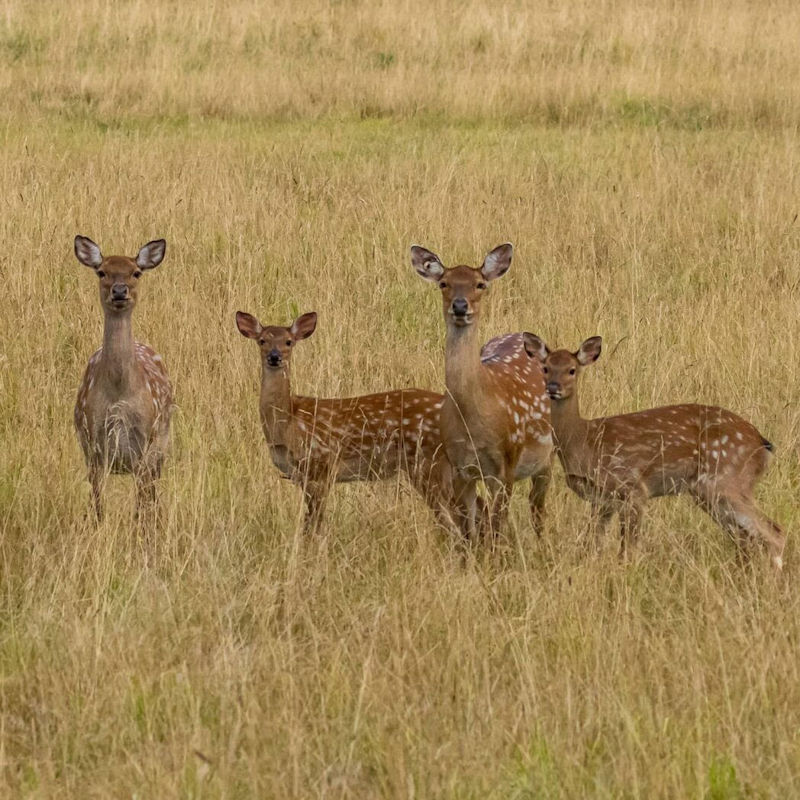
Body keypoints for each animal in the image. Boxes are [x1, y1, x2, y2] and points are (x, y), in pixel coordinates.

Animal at [72, 236, 173, 524]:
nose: (119, 291)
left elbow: (142, 504)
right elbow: (97, 503)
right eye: (102, 271)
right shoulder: (92, 441)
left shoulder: (146, 443)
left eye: (136, 272)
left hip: (162, 444)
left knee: (152, 494)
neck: (119, 395)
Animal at [234, 310, 460, 536]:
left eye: (289, 342)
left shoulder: (320, 465)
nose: (274, 357)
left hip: (429, 464)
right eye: (262, 340)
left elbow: (313, 524)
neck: (287, 422)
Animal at [410, 244, 552, 544]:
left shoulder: (506, 463)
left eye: (480, 284)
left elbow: (496, 525)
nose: (460, 306)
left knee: (537, 508)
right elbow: (469, 527)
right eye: (444, 283)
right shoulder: (460, 467)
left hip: (547, 455)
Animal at [520, 334, 784, 572]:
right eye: (545, 368)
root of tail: (762, 444)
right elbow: (592, 546)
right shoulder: (601, 500)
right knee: (745, 536)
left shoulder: (633, 488)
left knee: (772, 533)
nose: (553, 387)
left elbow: (627, 550)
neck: (583, 441)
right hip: (710, 491)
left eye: (572, 370)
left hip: (726, 480)